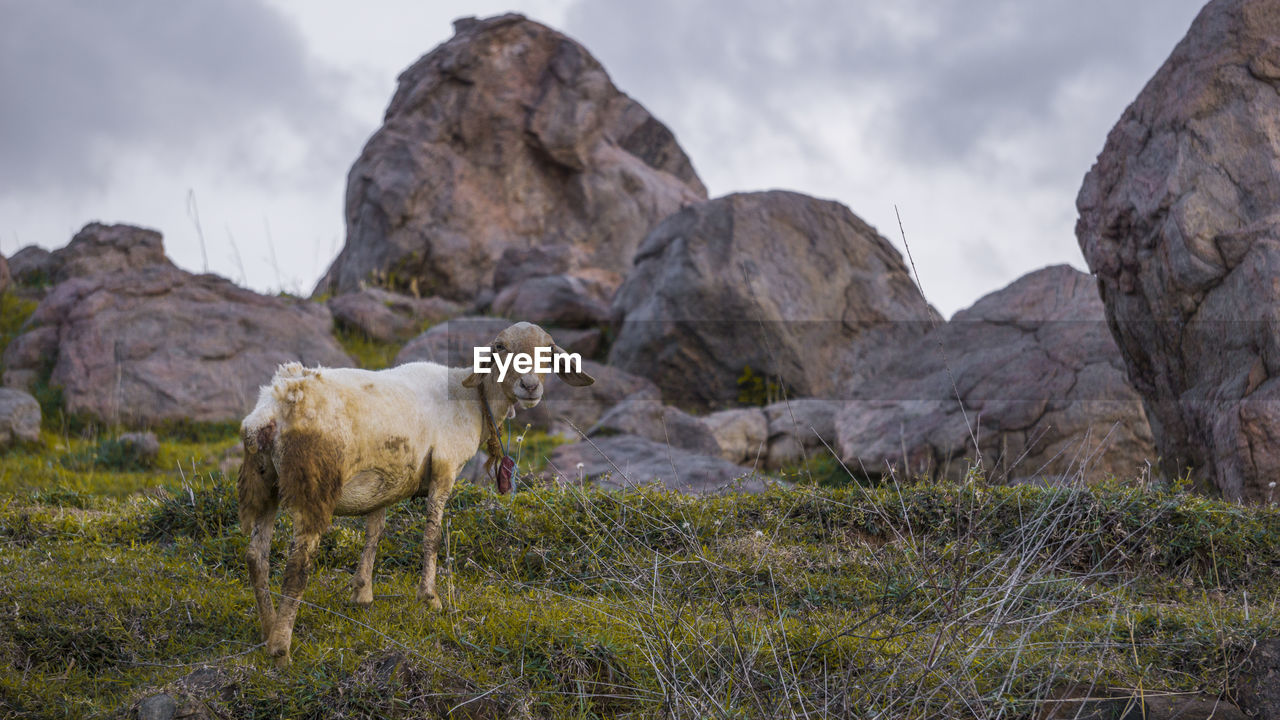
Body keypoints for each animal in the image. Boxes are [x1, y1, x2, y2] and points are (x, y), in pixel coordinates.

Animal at [236, 319, 593, 661]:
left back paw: (267, 627)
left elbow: (375, 531)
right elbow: (431, 537)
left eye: (549, 350)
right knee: (297, 566)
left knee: (256, 556)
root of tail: (272, 409)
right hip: (313, 483)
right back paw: (280, 647)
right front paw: (430, 597)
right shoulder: (445, 466)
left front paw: (362, 593)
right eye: (500, 347)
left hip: (263, 483)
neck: (472, 399)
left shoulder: (384, 479)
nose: (530, 386)